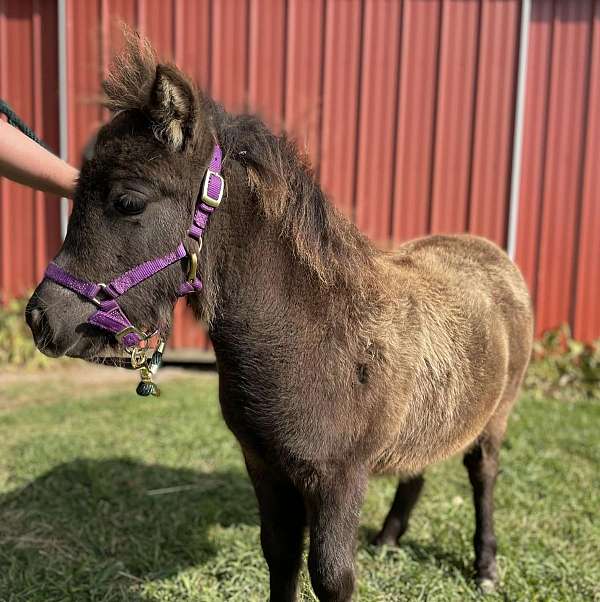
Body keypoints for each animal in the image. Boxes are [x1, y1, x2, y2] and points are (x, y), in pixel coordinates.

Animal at [28, 35, 536, 596]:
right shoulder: (265, 467)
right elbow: (280, 555)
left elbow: (331, 576)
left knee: (483, 475)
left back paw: (486, 567)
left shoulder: (338, 480)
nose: (40, 318)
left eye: (128, 201)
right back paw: (388, 538)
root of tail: (491, 251)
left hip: (496, 417)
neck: (310, 336)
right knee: (417, 465)